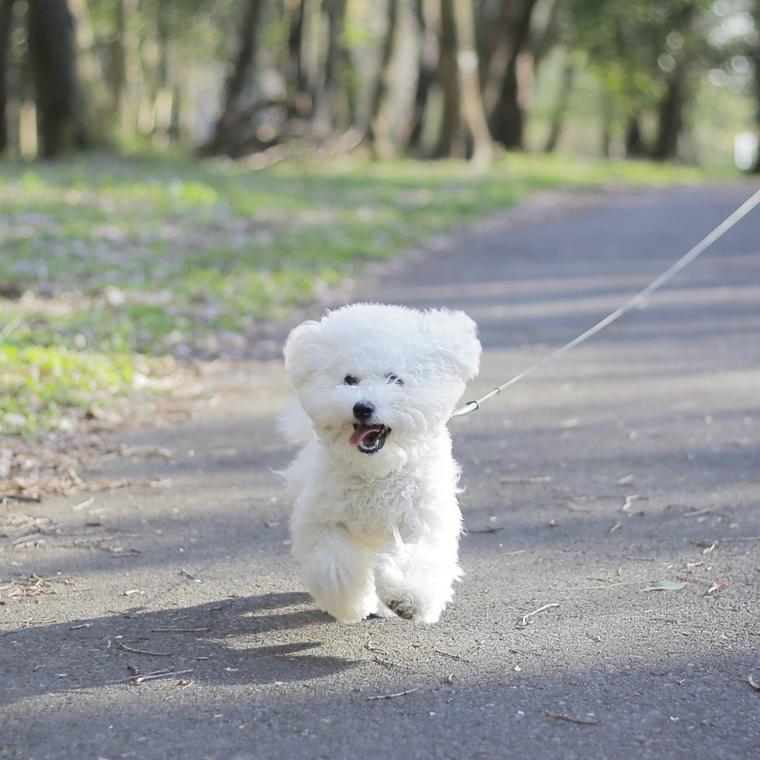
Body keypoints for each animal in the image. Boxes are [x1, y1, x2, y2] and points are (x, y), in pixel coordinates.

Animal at [280, 302, 480, 624]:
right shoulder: (323, 519)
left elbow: (418, 558)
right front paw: (350, 604)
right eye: (349, 379)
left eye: (394, 379)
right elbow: (334, 565)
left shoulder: (421, 518)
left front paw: (407, 598)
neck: (377, 473)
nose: (362, 407)